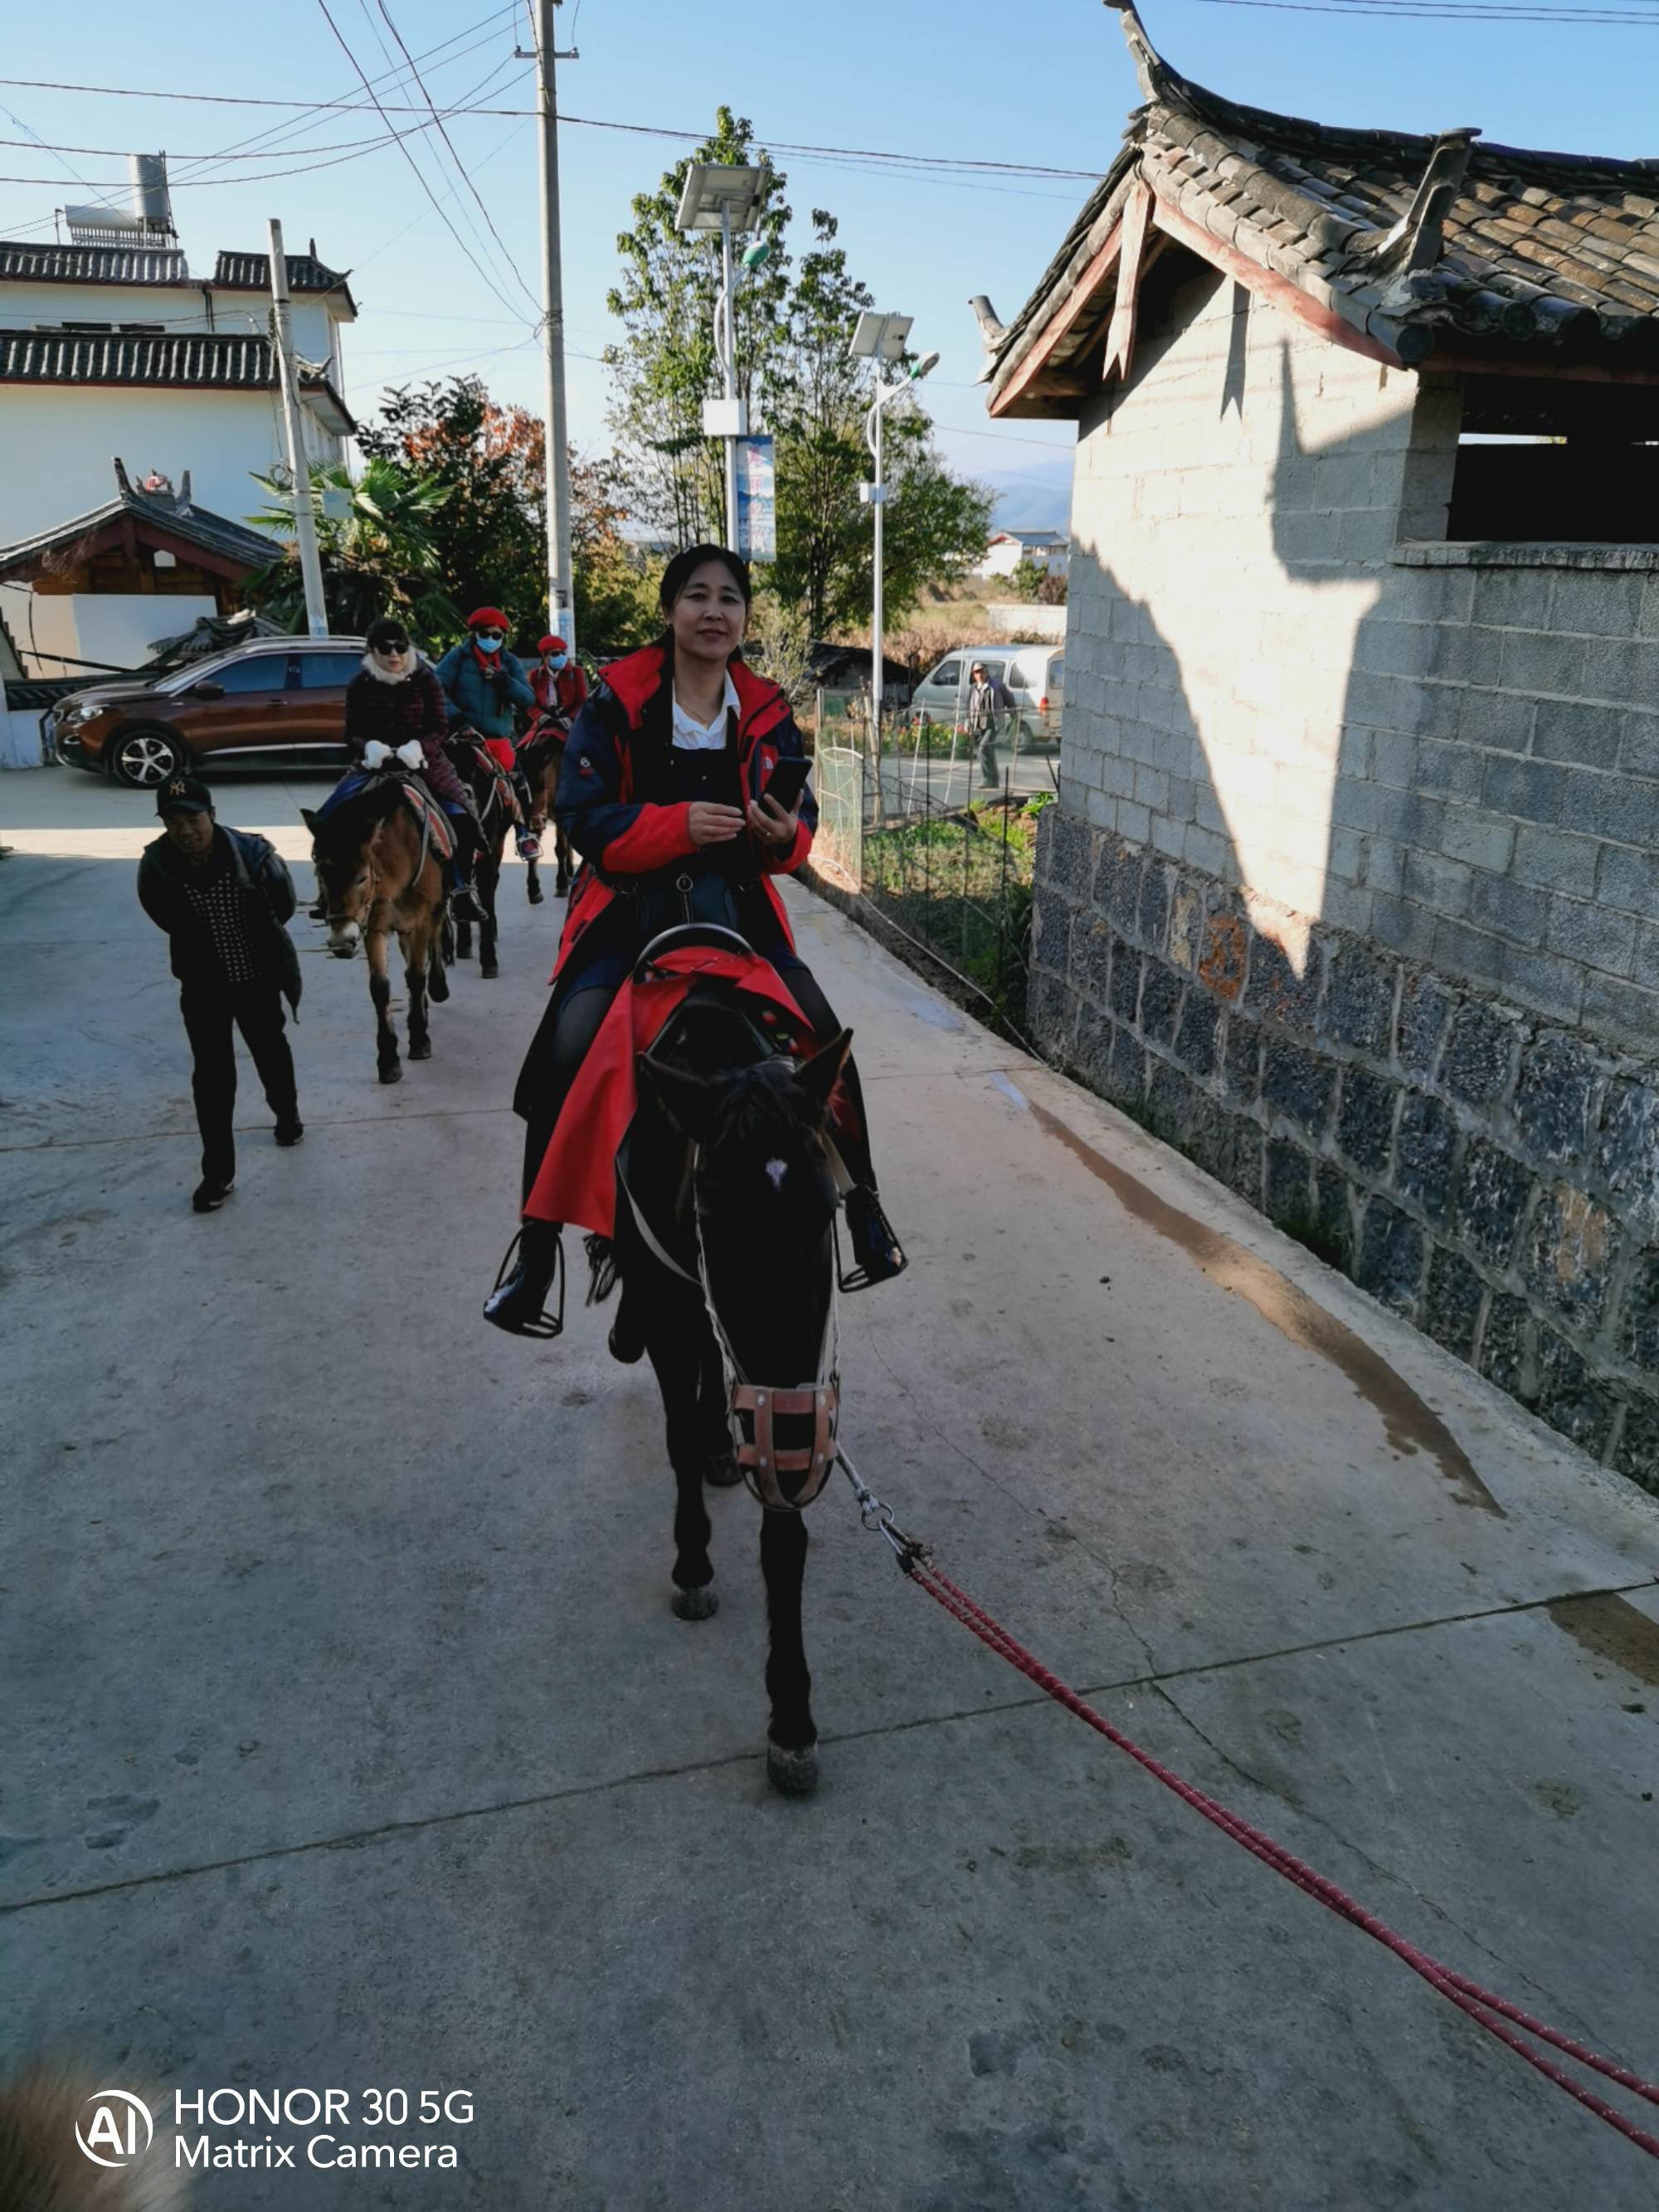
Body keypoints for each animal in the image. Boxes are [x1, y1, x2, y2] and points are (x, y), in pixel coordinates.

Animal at [592, 933, 858, 1796]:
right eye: (712, 1210)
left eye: (829, 1205)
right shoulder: (675, 1307)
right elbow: (677, 1428)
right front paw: (693, 1562)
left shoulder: (791, 1380)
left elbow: (785, 1527)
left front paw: (792, 1713)